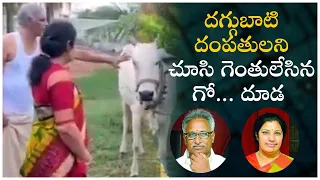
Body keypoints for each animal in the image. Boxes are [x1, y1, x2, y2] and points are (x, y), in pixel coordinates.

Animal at [117, 39, 178, 177]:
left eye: (157, 62)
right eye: (134, 62)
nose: (145, 94)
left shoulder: (166, 119)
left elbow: (162, 151)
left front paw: (165, 172)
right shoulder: (135, 113)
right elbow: (134, 145)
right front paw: (134, 170)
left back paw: (141, 149)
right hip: (125, 103)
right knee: (125, 123)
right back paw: (123, 148)